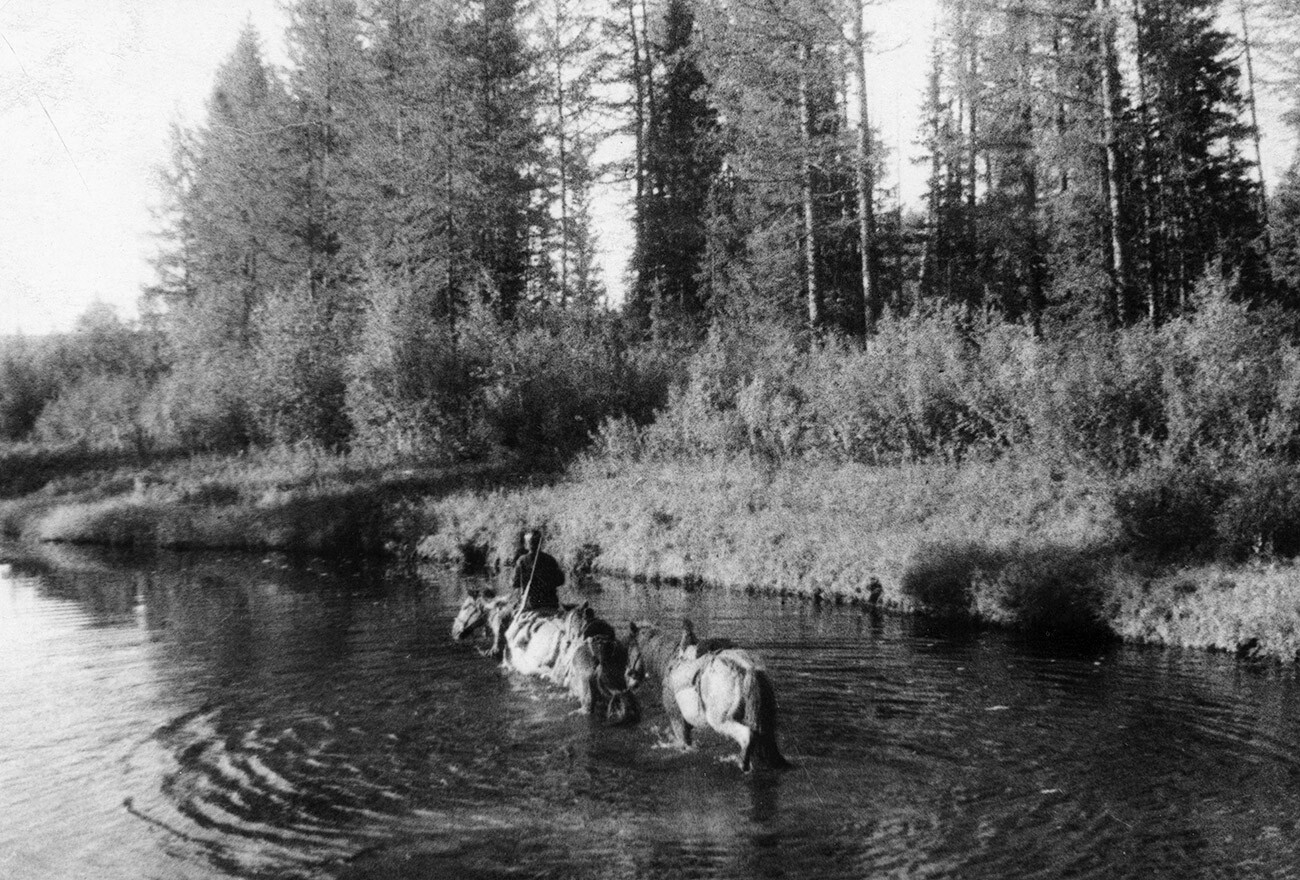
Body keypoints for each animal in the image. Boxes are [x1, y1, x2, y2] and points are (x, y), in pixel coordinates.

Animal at [621, 618, 785, 769]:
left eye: (629, 650)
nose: (627, 679)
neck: (670, 662)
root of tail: (747, 668)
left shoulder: (677, 719)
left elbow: (684, 744)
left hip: (720, 721)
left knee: (746, 737)